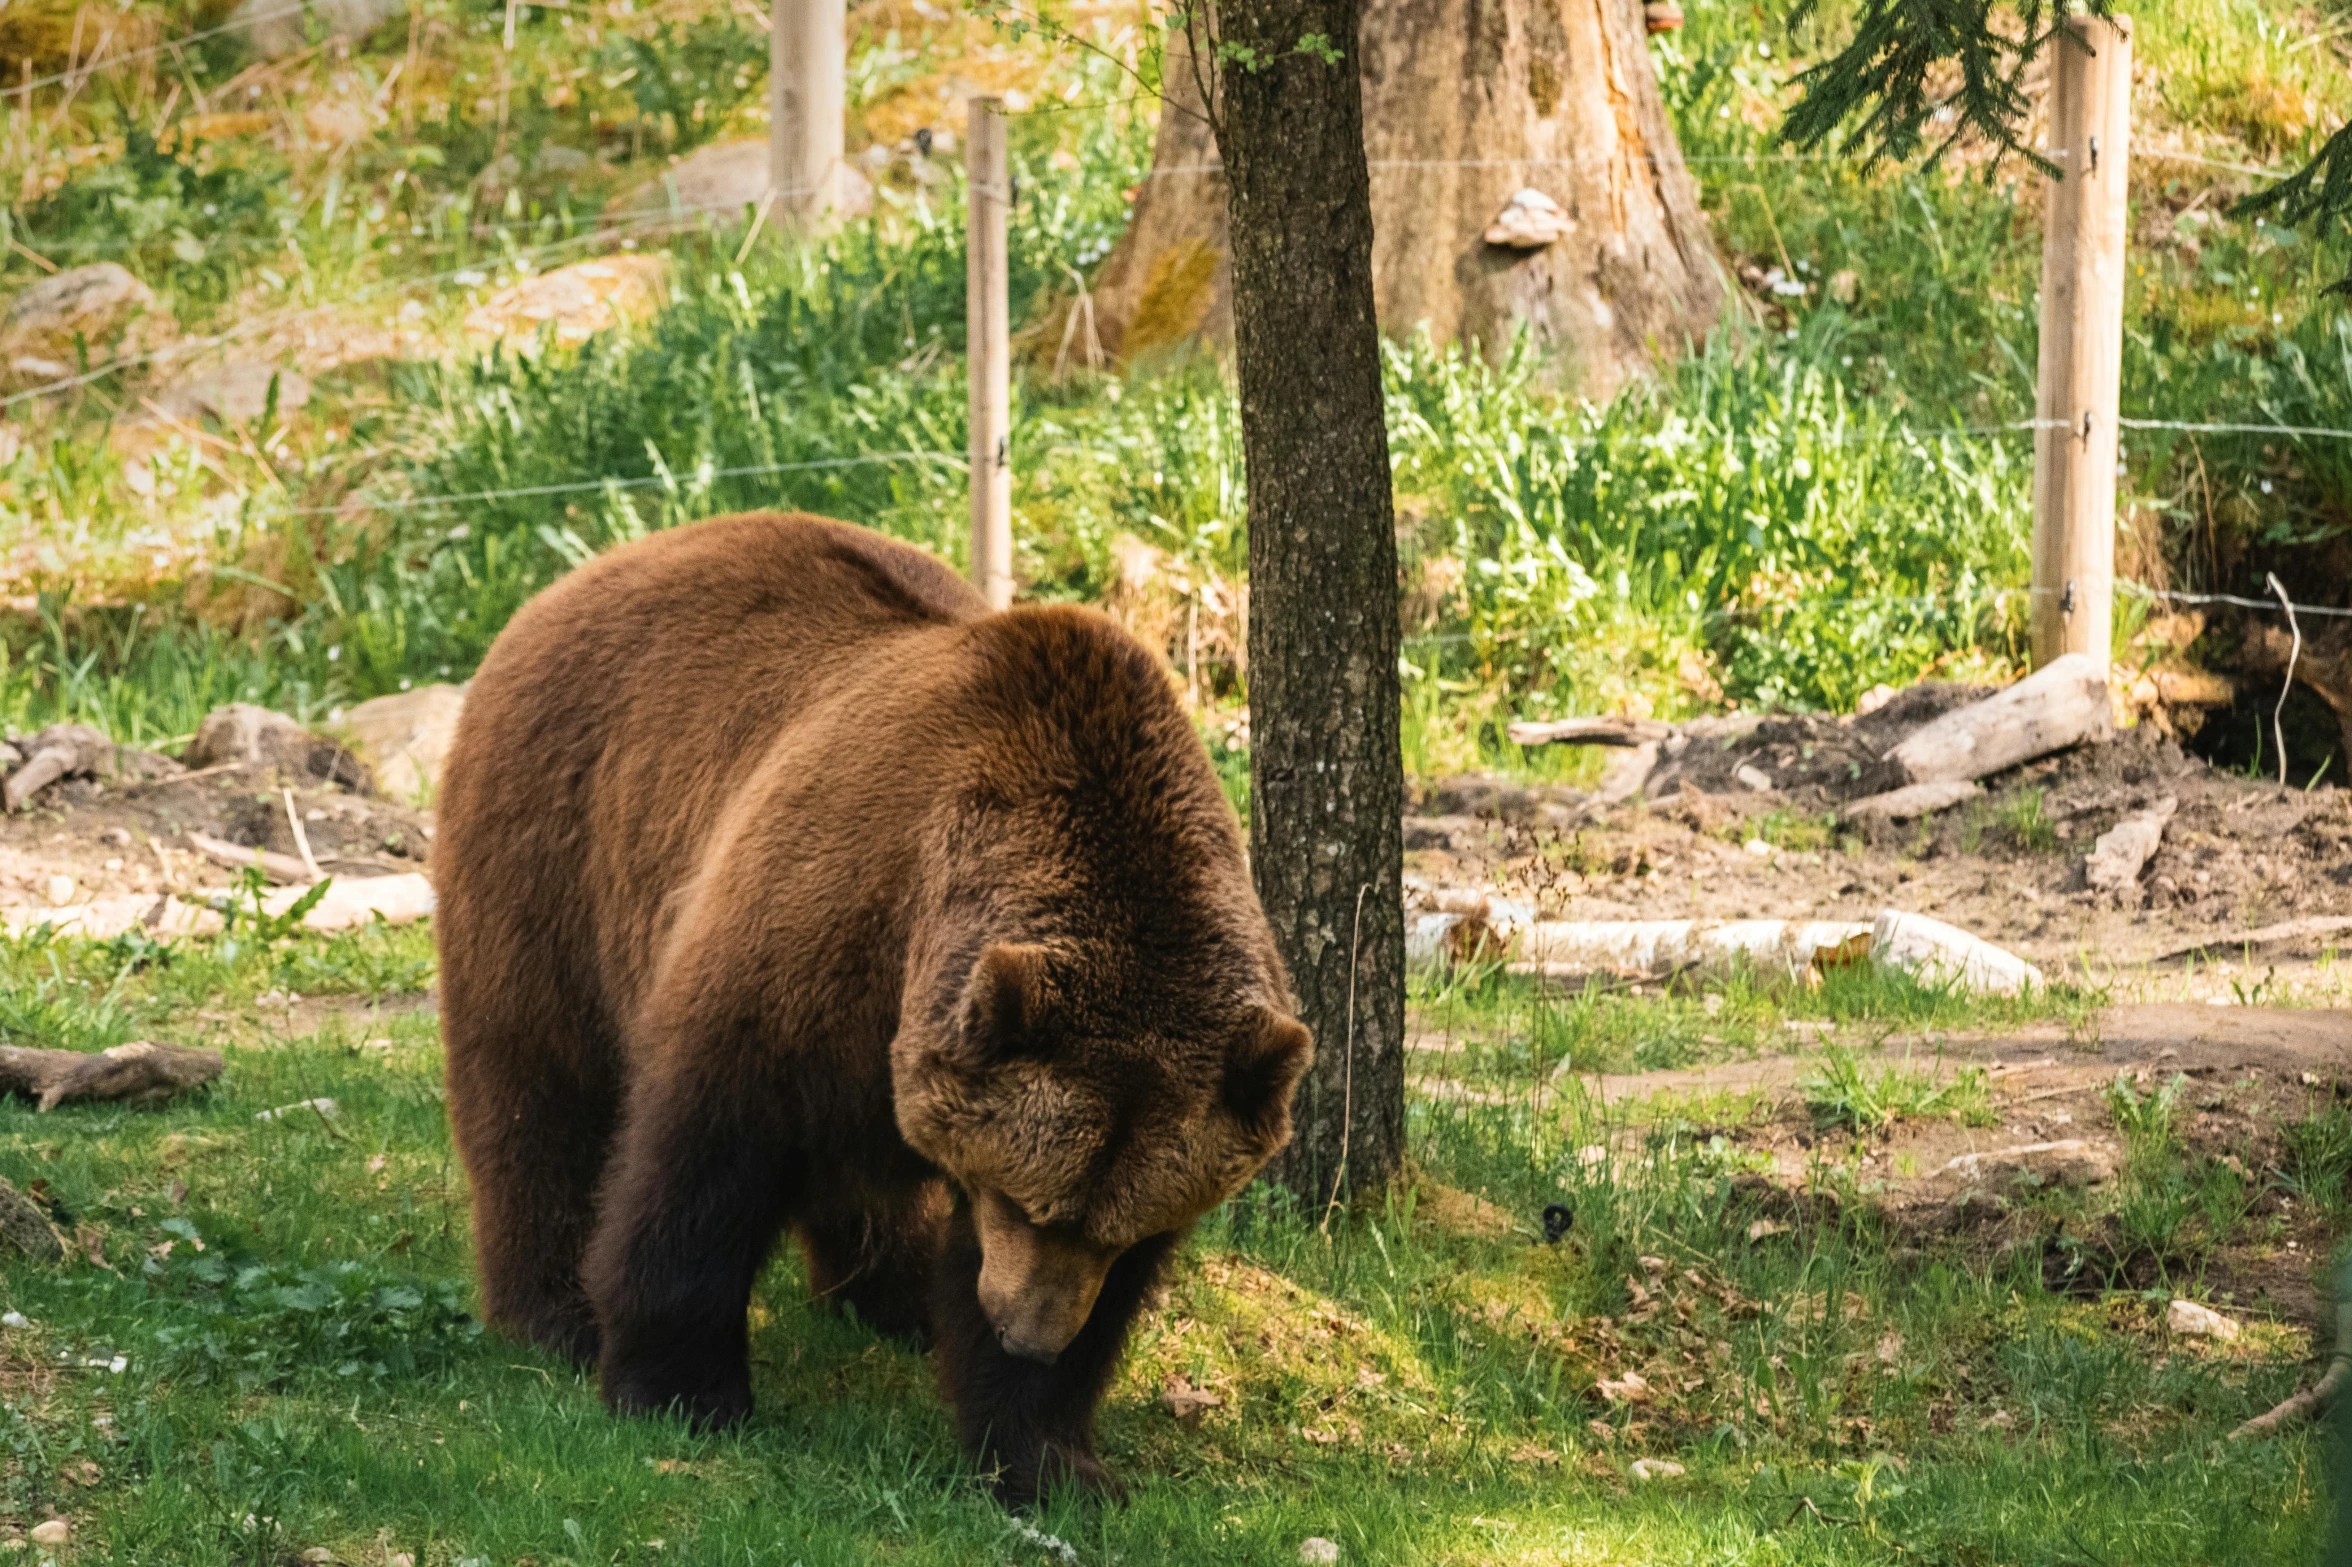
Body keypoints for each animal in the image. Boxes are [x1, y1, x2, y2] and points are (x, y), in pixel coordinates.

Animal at [435, 512, 1317, 1505]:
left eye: (1117, 1228)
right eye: (1029, 1202)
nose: (1030, 1333)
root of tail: (584, 574)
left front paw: (1052, 1455)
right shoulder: (812, 939)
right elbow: (703, 1162)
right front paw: (679, 1387)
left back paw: (892, 1295)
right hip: (556, 846)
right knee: (537, 1091)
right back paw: (551, 1311)